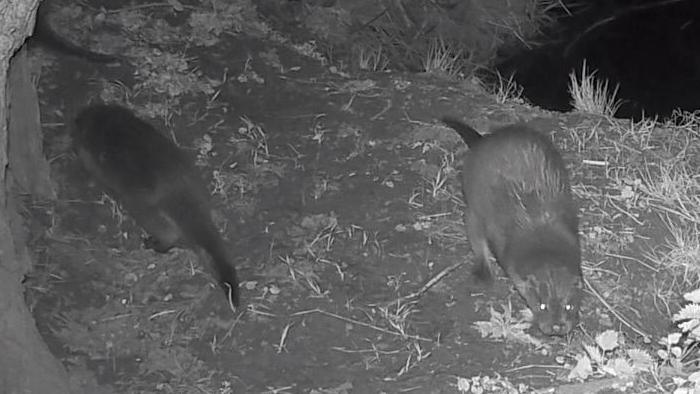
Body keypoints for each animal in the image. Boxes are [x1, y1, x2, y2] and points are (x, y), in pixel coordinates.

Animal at [72, 106, 239, 306]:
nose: (78, 116)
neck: (105, 124)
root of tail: (177, 186)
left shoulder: (89, 156)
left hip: (141, 206)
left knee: (168, 233)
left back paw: (153, 244)